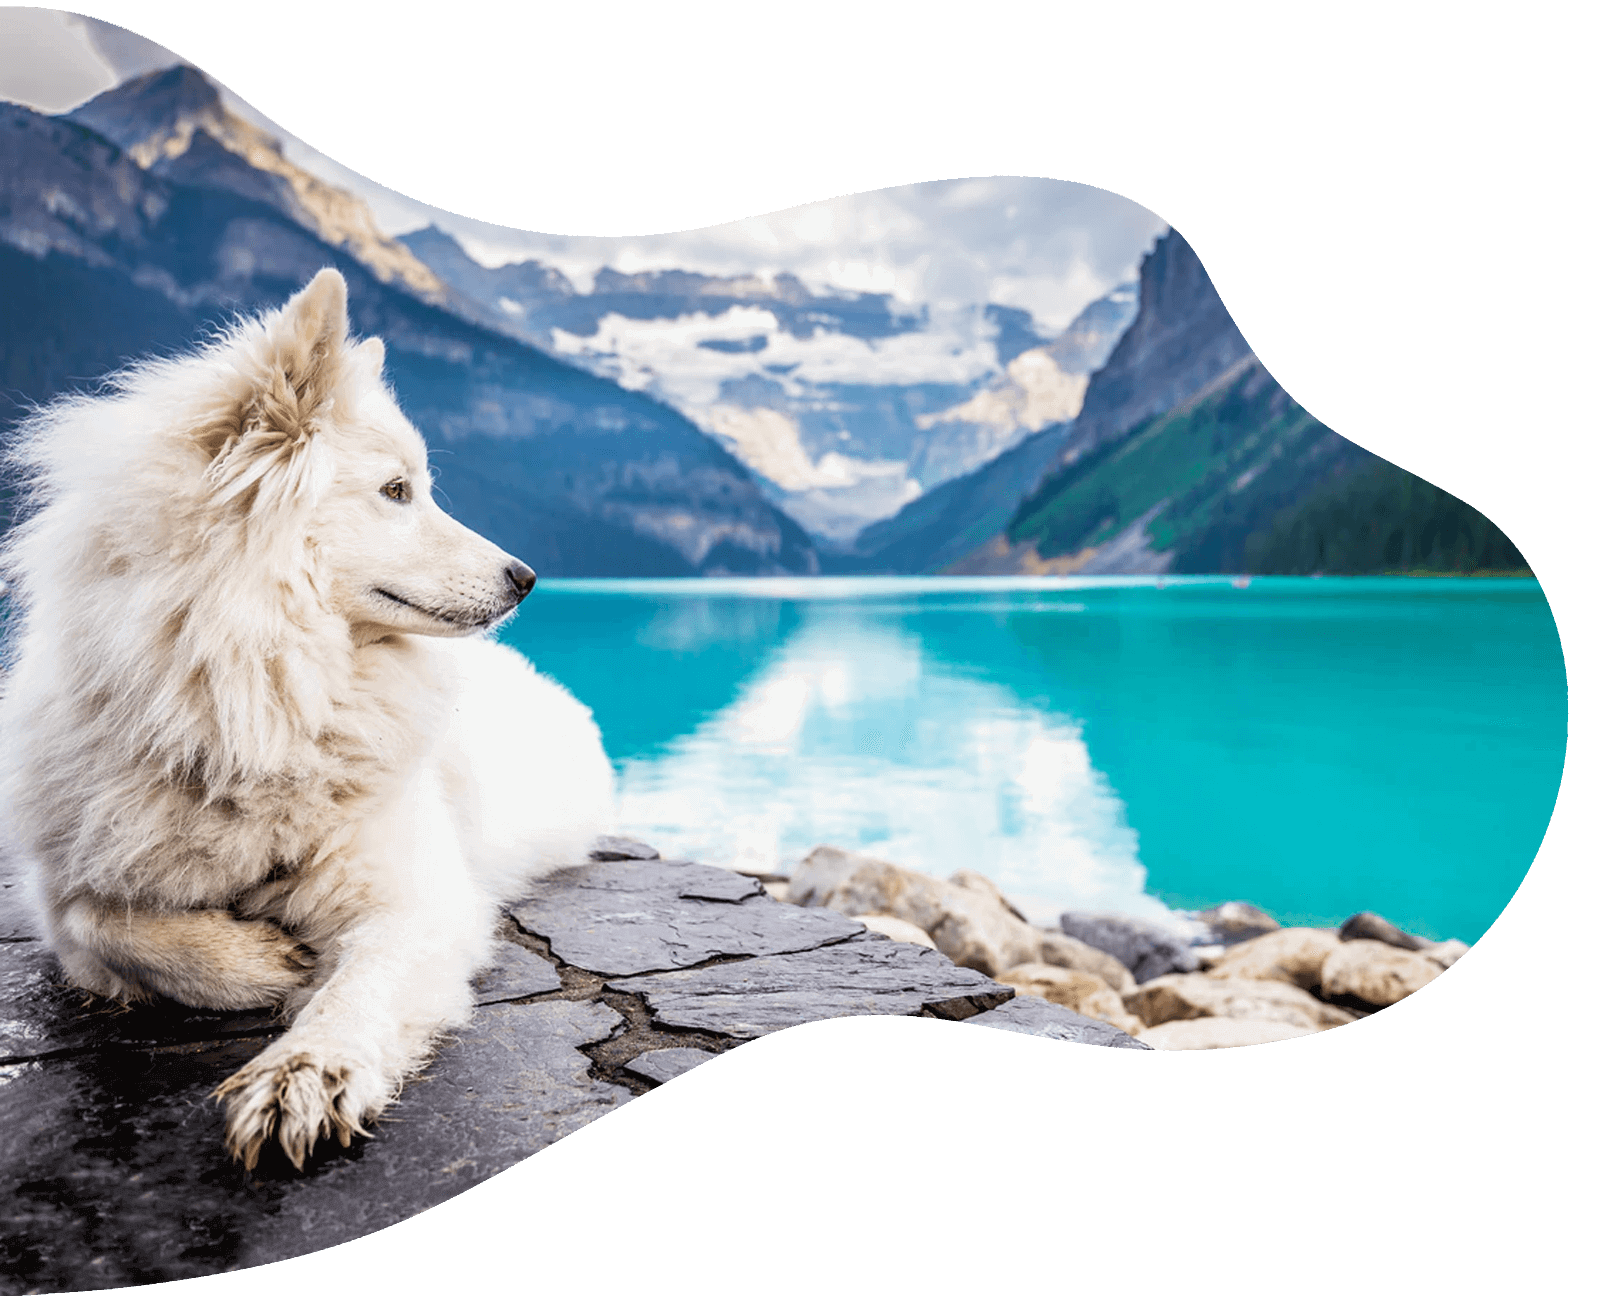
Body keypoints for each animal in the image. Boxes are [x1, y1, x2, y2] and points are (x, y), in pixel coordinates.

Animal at [0, 267, 617, 1165]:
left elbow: (356, 992)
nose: (526, 578)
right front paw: (259, 962)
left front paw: (308, 1071)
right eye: (397, 491)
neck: (254, 700)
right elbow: (108, 924)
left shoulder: (415, 900)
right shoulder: (65, 886)